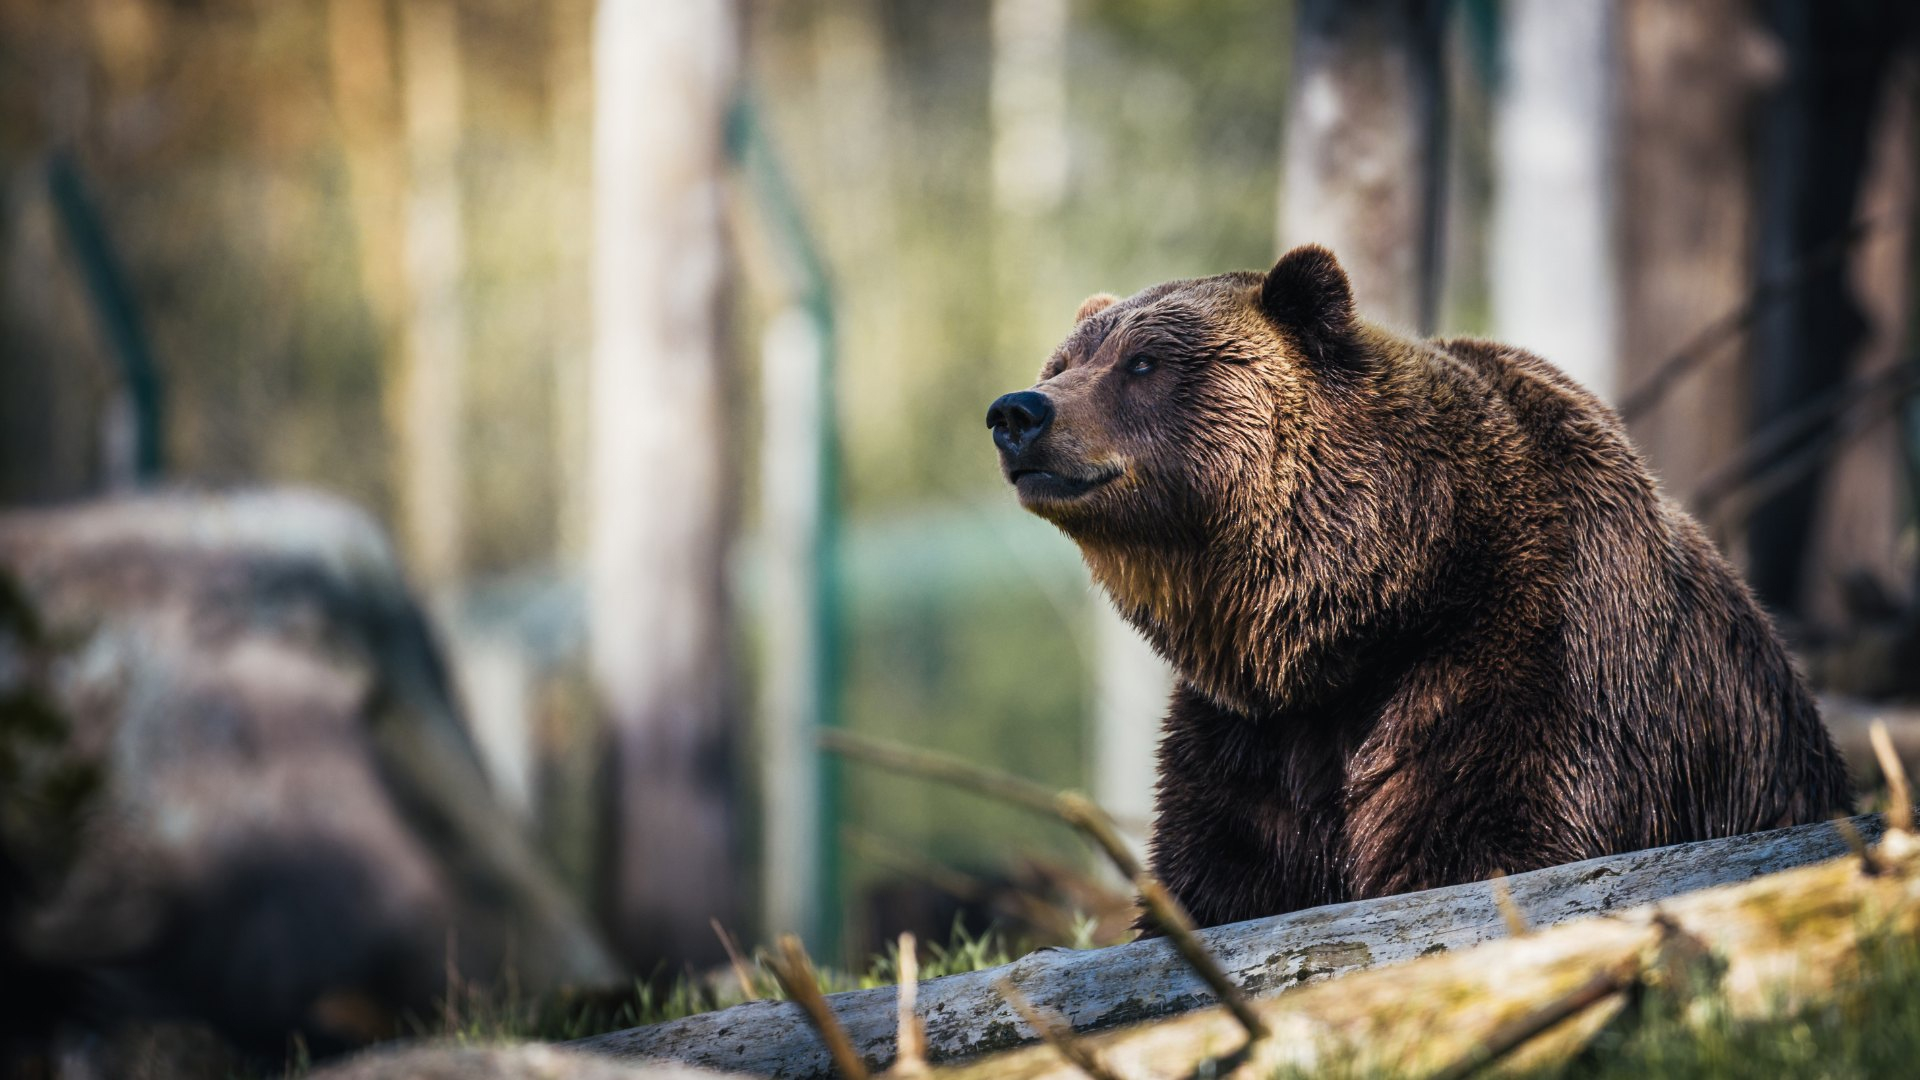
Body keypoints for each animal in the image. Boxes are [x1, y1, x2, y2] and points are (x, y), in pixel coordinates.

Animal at [983, 244, 1850, 926]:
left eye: (1144, 363)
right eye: (1063, 364)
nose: (1018, 412)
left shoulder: (1529, 657)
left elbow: (1486, 841)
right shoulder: (1253, 736)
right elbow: (1220, 875)